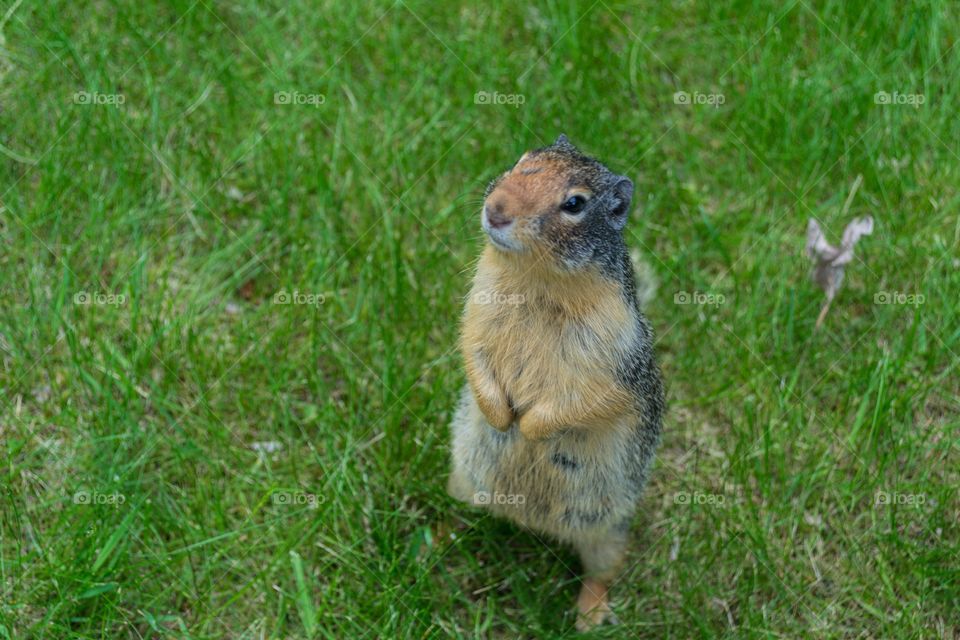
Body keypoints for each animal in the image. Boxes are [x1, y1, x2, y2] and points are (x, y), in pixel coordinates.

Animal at [448, 135, 660, 632]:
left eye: (575, 203)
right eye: (523, 160)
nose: (497, 208)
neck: (534, 279)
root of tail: (532, 523)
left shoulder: (612, 359)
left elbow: (584, 400)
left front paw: (528, 429)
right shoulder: (478, 312)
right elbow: (474, 354)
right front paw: (500, 415)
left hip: (608, 530)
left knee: (603, 570)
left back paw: (590, 614)